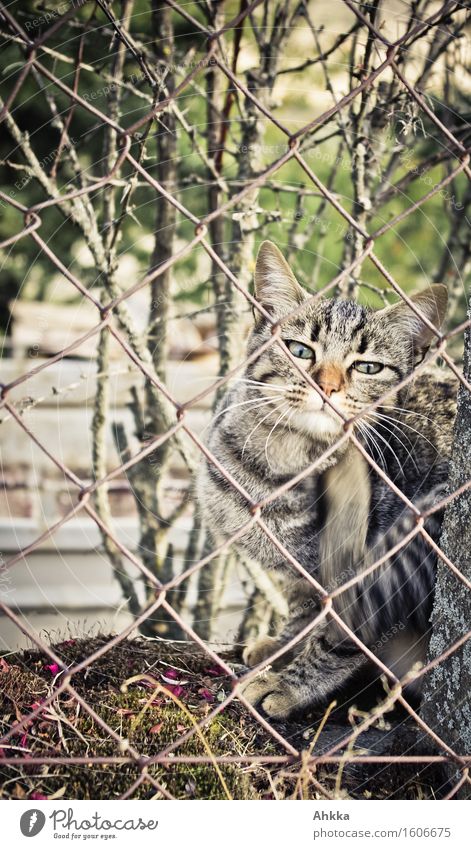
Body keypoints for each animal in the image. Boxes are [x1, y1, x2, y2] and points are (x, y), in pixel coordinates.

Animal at [198, 242, 458, 720]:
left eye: (368, 367)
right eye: (300, 350)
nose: (328, 386)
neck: (282, 467)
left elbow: (341, 635)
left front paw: (289, 682)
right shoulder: (299, 578)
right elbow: (303, 609)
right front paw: (281, 647)